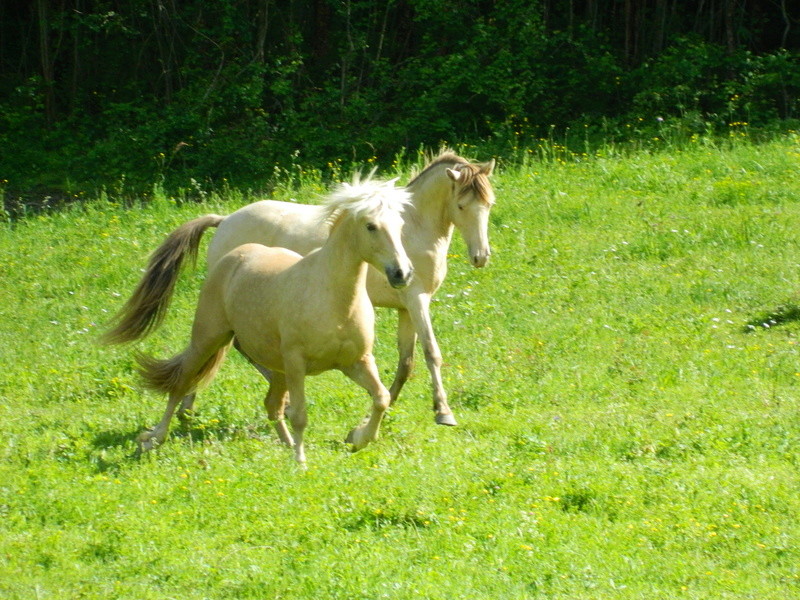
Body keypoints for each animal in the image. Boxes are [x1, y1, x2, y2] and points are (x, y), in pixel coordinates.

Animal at [104, 152, 496, 428]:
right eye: (462, 205)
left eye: (489, 205)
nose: (480, 256)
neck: (412, 230)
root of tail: (225, 220)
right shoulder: (417, 300)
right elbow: (431, 354)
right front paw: (443, 412)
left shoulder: (405, 307)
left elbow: (406, 362)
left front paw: (383, 411)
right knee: (228, 349)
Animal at [130, 178, 412, 464]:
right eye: (371, 226)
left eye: (400, 225)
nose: (402, 273)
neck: (335, 300)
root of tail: (236, 253)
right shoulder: (297, 363)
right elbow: (300, 415)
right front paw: (301, 462)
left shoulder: (357, 362)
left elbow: (381, 397)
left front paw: (358, 438)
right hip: (208, 339)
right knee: (181, 384)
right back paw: (153, 439)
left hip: (277, 367)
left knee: (272, 404)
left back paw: (286, 444)